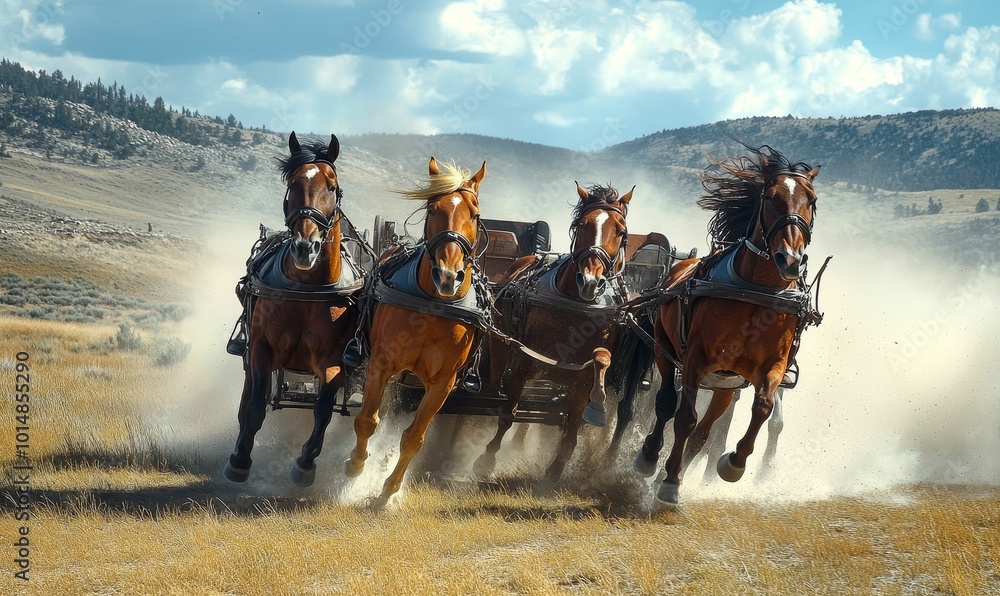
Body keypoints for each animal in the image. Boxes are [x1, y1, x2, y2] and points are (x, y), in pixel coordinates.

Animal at [223, 132, 359, 487]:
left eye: (332, 187)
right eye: (292, 184)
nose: (304, 247)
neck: (307, 292)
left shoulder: (333, 361)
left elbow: (323, 409)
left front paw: (305, 464)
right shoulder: (261, 348)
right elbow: (256, 405)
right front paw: (240, 460)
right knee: (248, 397)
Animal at [344, 156, 487, 504]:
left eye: (475, 214)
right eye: (433, 209)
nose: (447, 275)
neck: (434, 307)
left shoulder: (442, 383)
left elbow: (414, 438)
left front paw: (388, 491)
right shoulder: (381, 364)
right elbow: (366, 420)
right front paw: (355, 465)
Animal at [473, 183, 635, 480]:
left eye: (620, 231)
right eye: (582, 224)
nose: (590, 281)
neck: (574, 304)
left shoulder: (582, 380)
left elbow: (574, 425)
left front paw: (556, 469)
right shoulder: (524, 363)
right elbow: (508, 413)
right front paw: (487, 459)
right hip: (502, 347)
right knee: (496, 376)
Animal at [630, 144, 822, 508]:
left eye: (812, 200)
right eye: (770, 197)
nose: (790, 260)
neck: (755, 292)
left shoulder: (771, 367)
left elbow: (762, 408)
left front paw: (733, 464)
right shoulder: (695, 360)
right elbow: (684, 417)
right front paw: (669, 482)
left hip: (725, 384)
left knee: (705, 432)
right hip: (664, 349)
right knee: (666, 403)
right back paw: (649, 458)